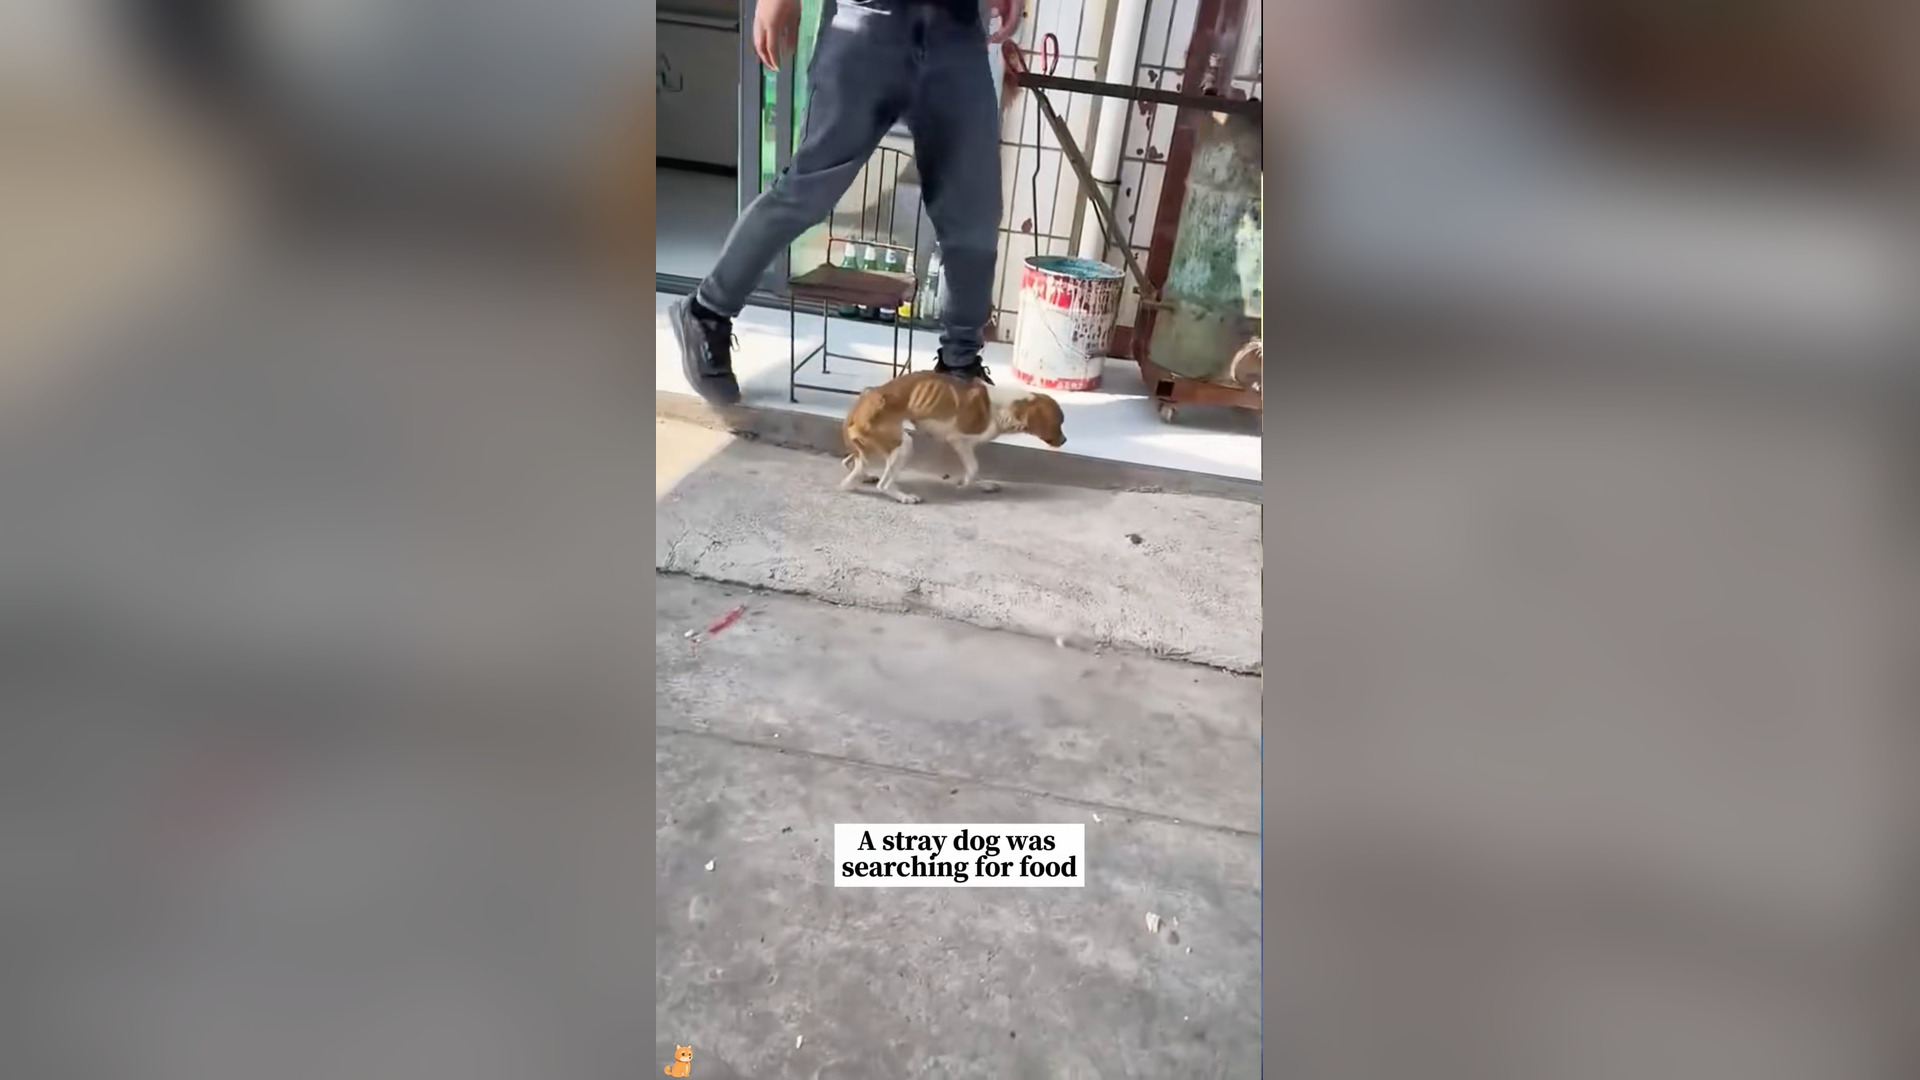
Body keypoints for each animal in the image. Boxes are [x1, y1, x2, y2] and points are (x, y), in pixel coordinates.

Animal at [840, 370, 1066, 504]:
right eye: (1059, 422)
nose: (1064, 441)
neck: (1006, 407)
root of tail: (864, 399)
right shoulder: (959, 440)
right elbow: (973, 469)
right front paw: (964, 483)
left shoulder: (966, 446)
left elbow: (975, 470)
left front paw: (983, 484)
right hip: (903, 444)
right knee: (883, 484)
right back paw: (903, 496)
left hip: (875, 443)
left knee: (851, 462)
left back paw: (865, 475)